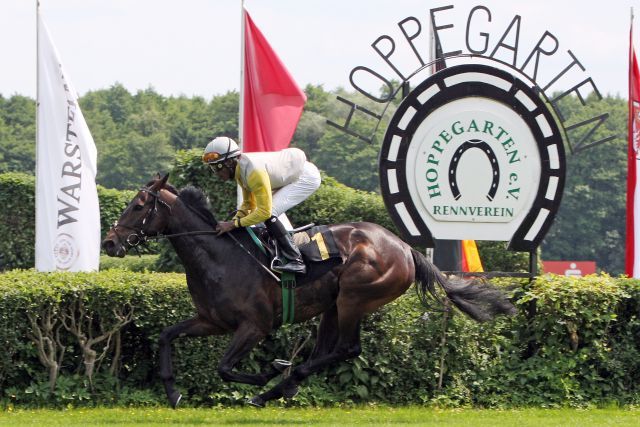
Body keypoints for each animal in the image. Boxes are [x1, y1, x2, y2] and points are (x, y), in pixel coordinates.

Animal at [102, 175, 516, 408]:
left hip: (354, 297)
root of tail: (404, 247)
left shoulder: (255, 326)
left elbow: (224, 367)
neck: (219, 256)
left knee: (348, 349)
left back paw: (276, 385)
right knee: (327, 350)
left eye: (139, 205)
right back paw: (285, 387)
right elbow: (166, 335)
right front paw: (173, 392)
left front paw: (267, 372)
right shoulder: (211, 320)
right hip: (332, 306)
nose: (109, 242)